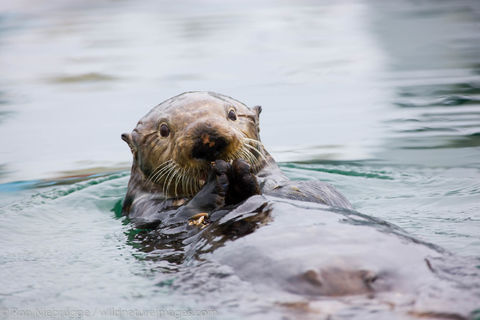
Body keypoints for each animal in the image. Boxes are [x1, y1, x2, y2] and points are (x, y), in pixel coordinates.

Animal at [122, 90, 350, 225]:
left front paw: (242, 175)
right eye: (163, 130)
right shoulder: (144, 210)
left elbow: (315, 192)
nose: (208, 139)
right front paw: (216, 183)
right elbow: (175, 216)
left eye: (232, 114)